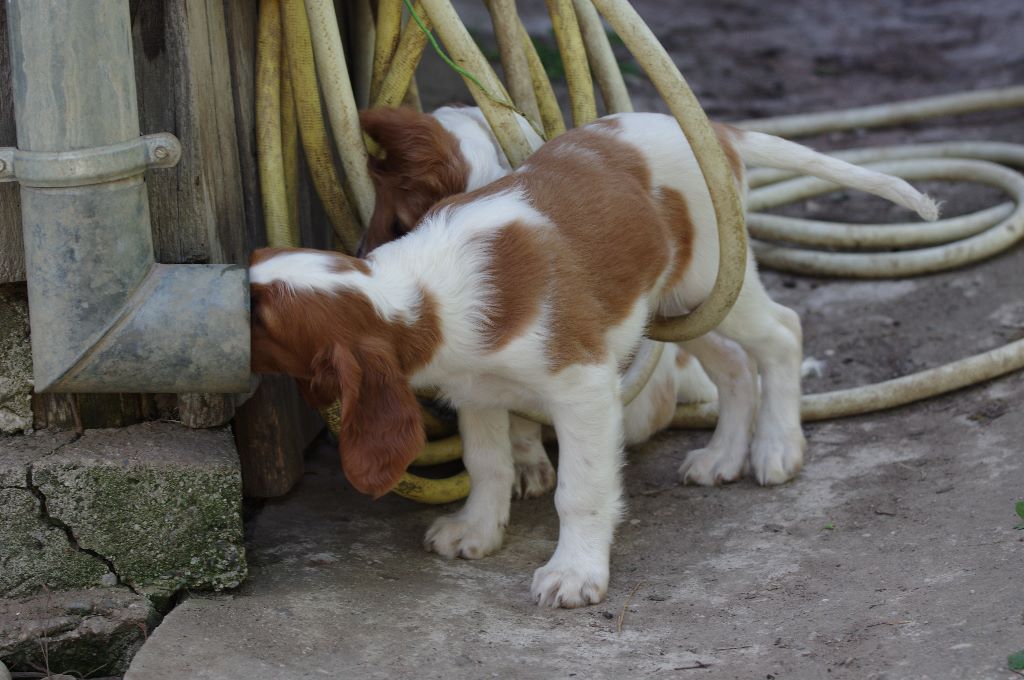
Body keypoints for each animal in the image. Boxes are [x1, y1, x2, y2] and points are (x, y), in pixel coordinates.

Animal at [249, 110, 937, 606]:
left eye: (262, 315)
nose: (231, 277)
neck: (421, 294)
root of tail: (715, 131)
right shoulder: (478, 391)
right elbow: (488, 465)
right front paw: (478, 531)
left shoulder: (582, 385)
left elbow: (578, 491)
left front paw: (574, 572)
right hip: (674, 307)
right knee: (734, 366)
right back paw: (721, 456)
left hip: (716, 282)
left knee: (782, 335)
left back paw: (777, 448)